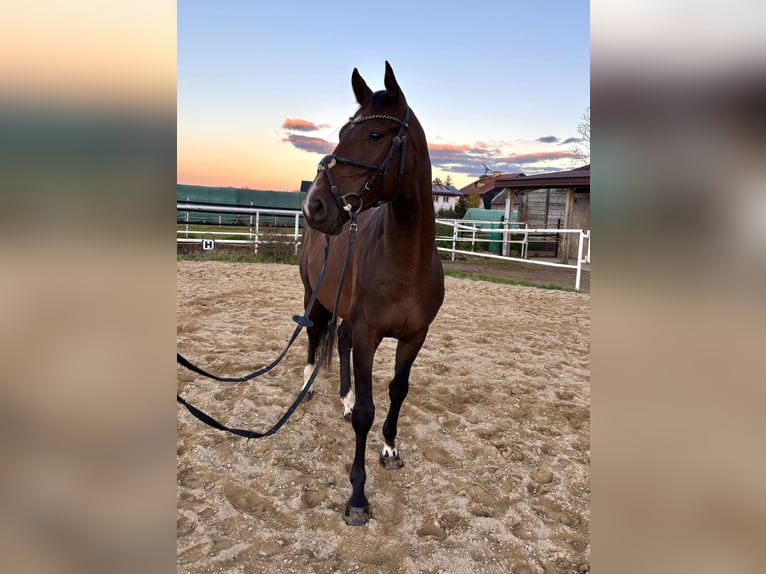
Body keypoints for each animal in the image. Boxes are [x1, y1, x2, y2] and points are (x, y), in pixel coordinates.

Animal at [299, 62, 445, 526]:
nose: (316, 205)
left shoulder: (414, 336)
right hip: (313, 295)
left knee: (339, 340)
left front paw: (391, 451)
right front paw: (358, 497)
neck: (405, 260)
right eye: (343, 131)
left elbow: (397, 391)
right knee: (314, 334)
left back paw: (342, 399)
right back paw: (307, 386)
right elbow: (366, 412)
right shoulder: (369, 335)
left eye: (375, 135)